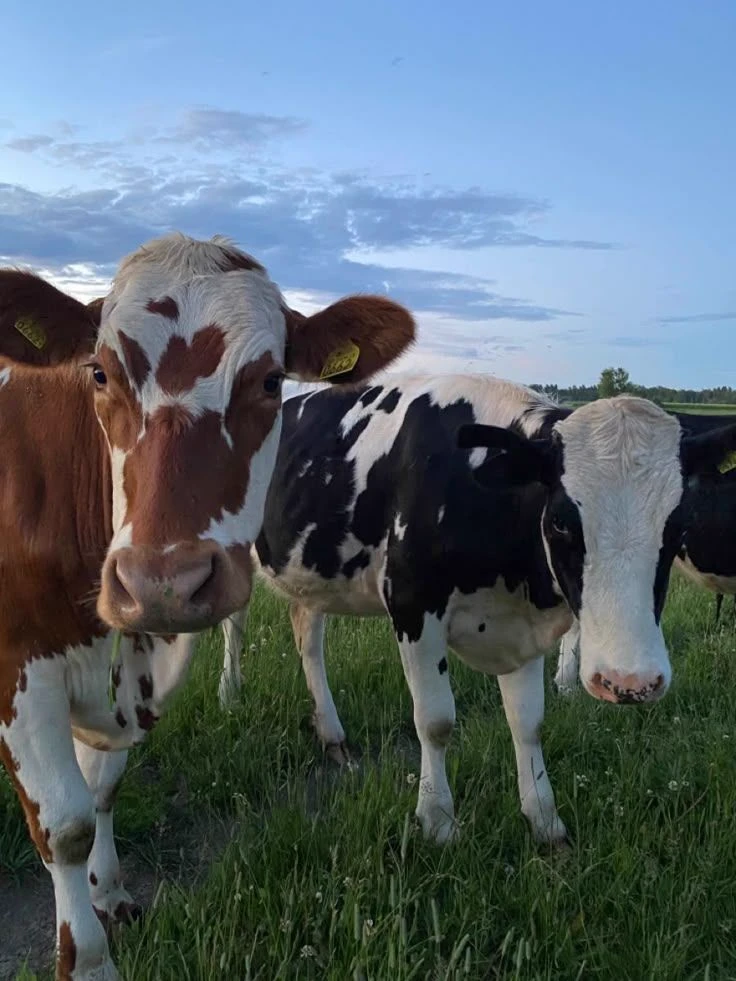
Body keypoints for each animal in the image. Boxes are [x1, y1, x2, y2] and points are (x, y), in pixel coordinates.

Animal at [0, 235, 415, 981]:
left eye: (271, 381)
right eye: (99, 373)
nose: (165, 580)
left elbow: (102, 786)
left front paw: (110, 893)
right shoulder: (18, 661)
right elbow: (64, 824)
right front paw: (89, 959)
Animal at [216, 376, 736, 849]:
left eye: (678, 524)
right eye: (561, 522)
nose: (629, 683)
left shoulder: (522, 625)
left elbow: (528, 722)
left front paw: (545, 822)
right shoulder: (412, 604)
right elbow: (435, 721)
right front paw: (439, 823)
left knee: (308, 638)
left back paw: (331, 733)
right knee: (234, 624)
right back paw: (229, 691)